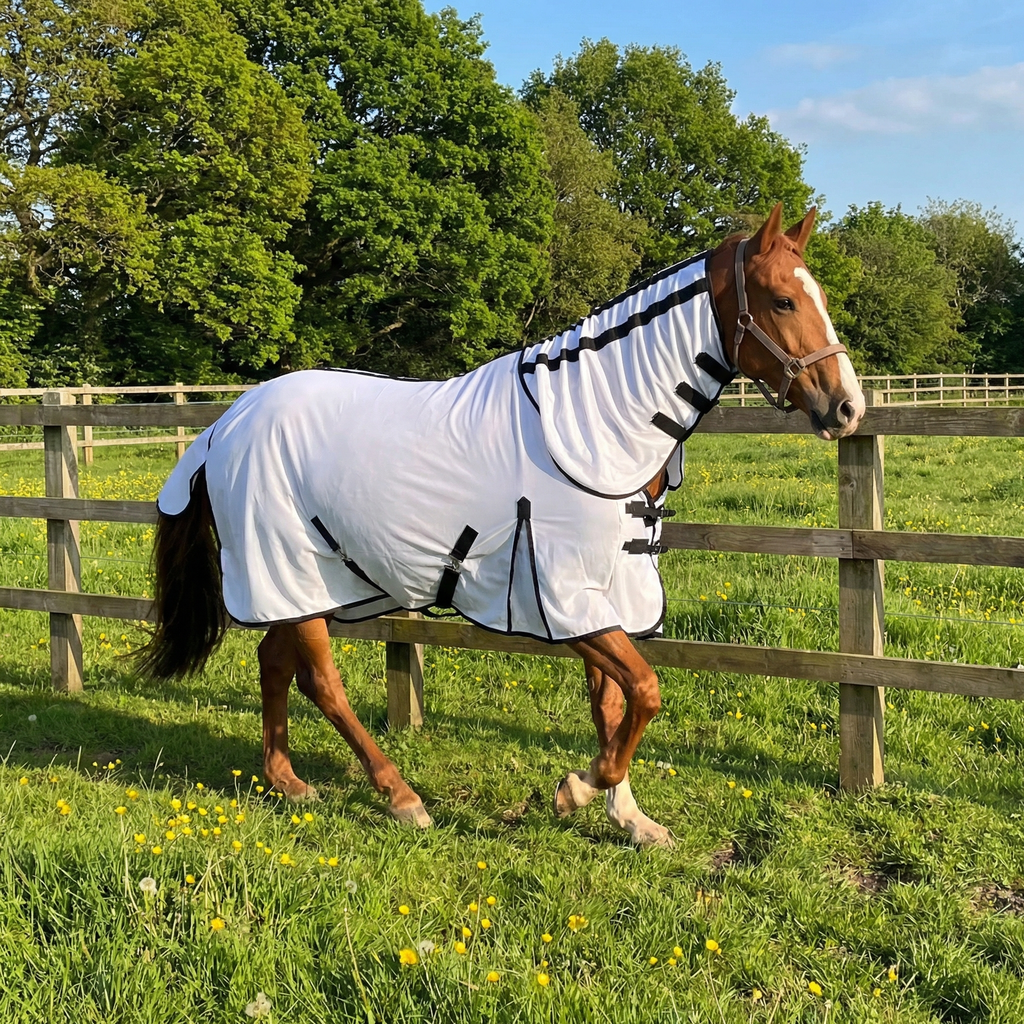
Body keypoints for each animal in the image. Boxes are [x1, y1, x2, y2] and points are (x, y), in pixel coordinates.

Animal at [140, 204, 864, 847]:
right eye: (781, 301)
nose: (847, 407)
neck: (594, 429)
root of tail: (226, 425)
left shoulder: (599, 595)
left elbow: (614, 703)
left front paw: (628, 819)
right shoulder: (568, 597)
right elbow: (646, 691)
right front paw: (577, 789)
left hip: (317, 585)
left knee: (273, 661)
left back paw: (286, 781)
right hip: (288, 572)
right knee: (323, 683)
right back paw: (401, 798)